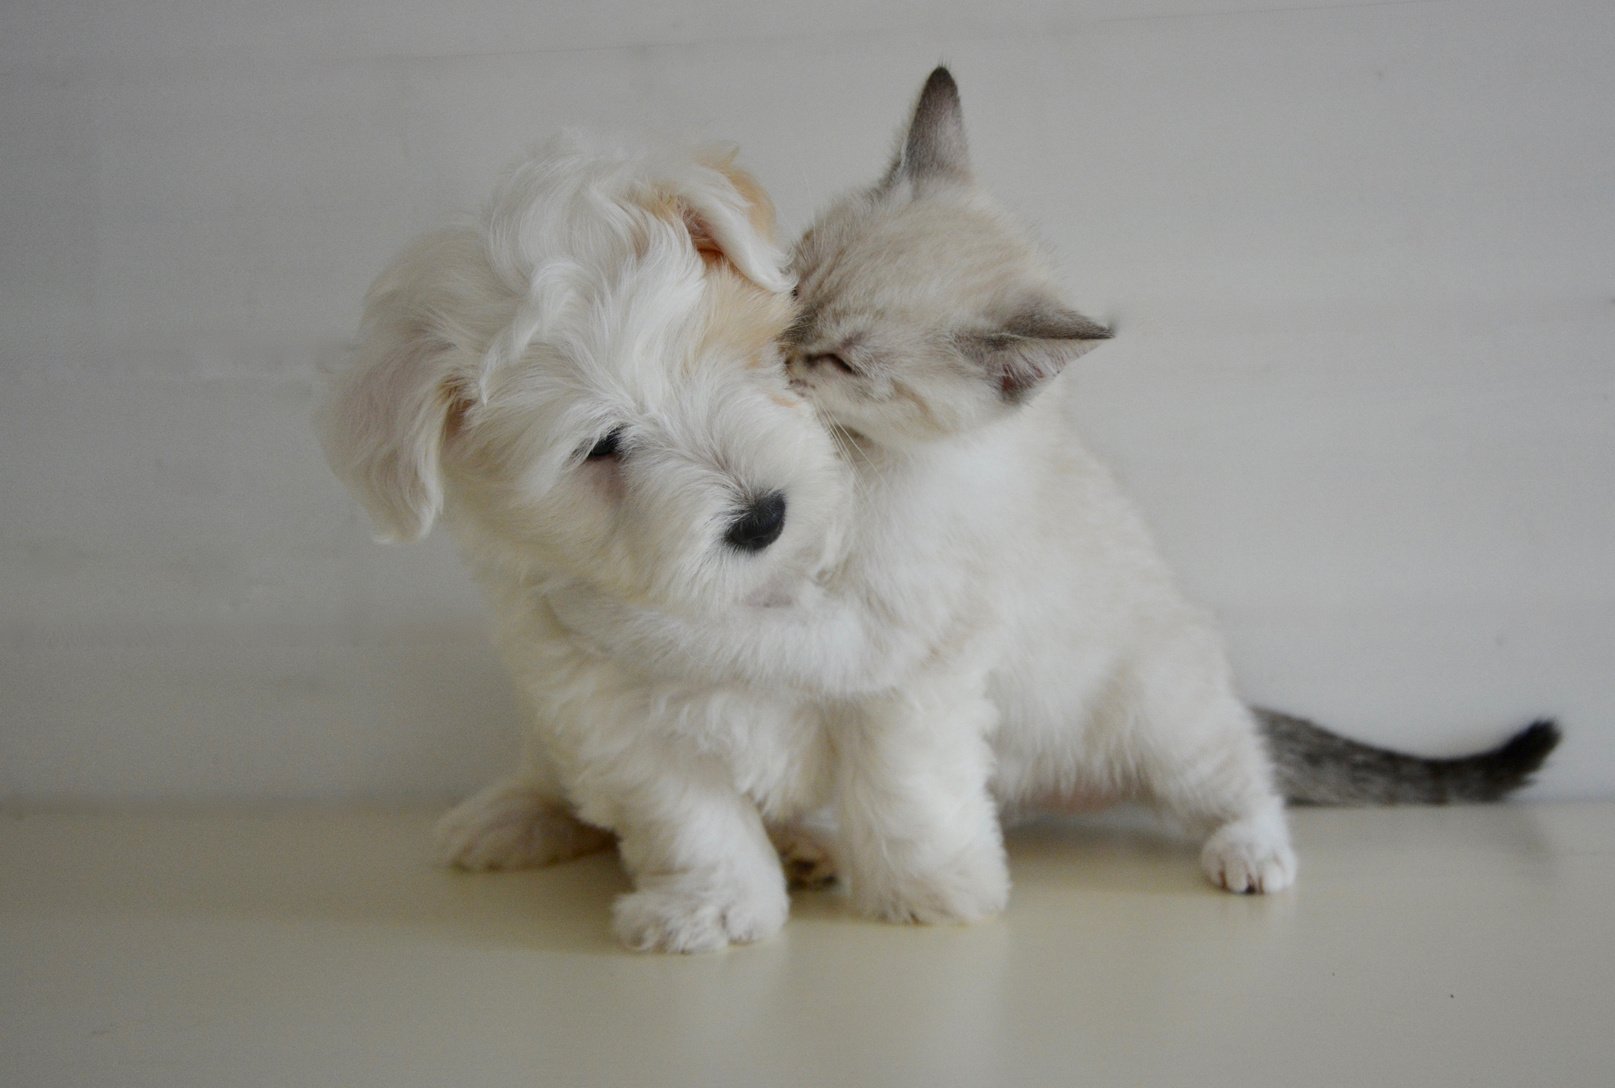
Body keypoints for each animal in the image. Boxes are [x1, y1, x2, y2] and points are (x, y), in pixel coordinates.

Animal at [314, 138, 852, 949]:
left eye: (735, 359)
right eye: (602, 445)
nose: (763, 517)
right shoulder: (604, 708)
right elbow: (690, 812)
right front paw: (719, 905)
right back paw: (511, 816)